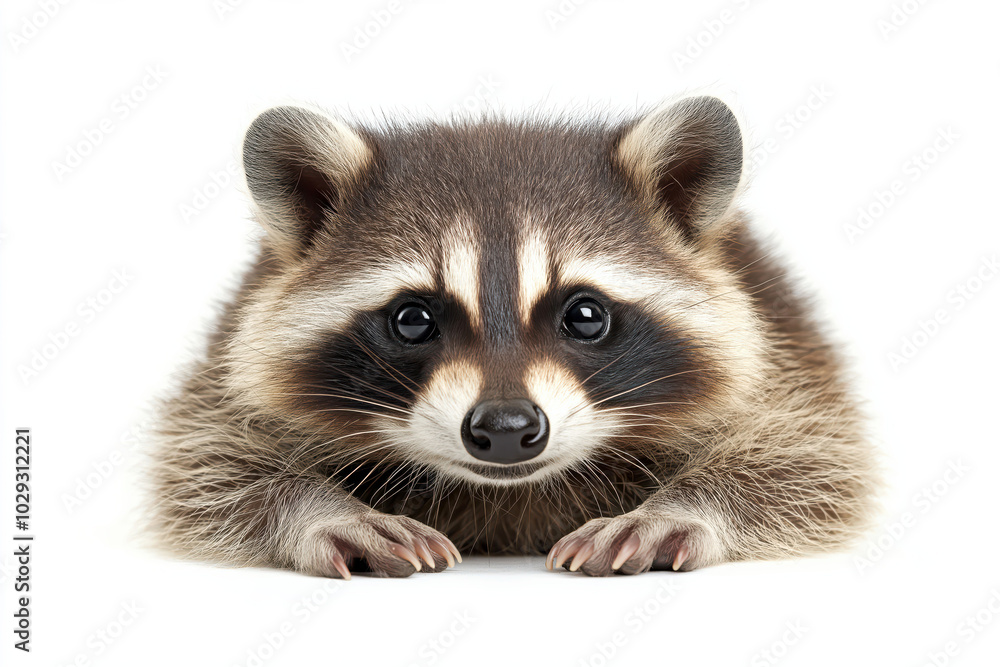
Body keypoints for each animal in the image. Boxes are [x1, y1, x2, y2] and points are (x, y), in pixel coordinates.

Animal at [150, 95, 879, 578]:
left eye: (585, 316)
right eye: (412, 319)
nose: (505, 427)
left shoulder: (787, 352)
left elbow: (806, 454)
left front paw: (682, 508)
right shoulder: (224, 368)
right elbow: (211, 458)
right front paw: (322, 510)